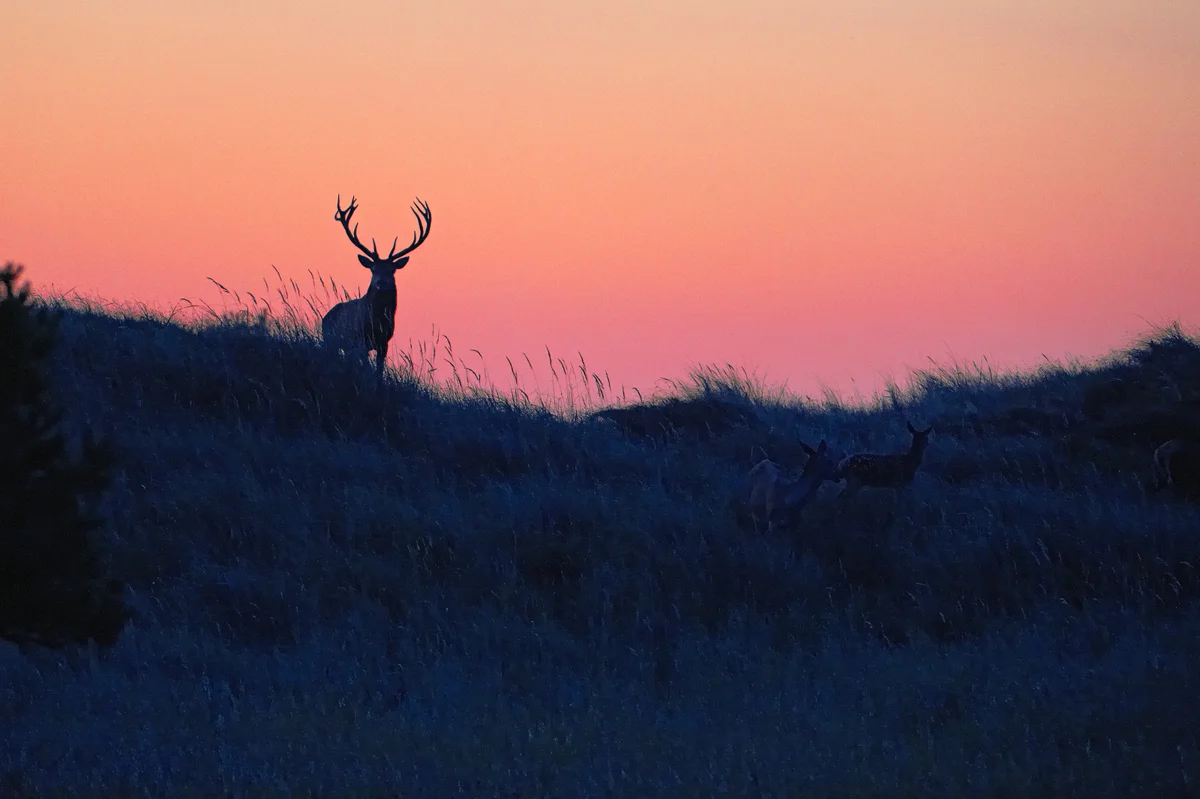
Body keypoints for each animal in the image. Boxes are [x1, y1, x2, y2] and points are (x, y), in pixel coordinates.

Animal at [321, 195, 432, 377]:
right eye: (373, 269)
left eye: (392, 270)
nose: (381, 282)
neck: (377, 320)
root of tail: (325, 317)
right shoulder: (360, 340)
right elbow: (366, 369)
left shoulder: (383, 342)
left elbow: (379, 372)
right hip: (330, 339)